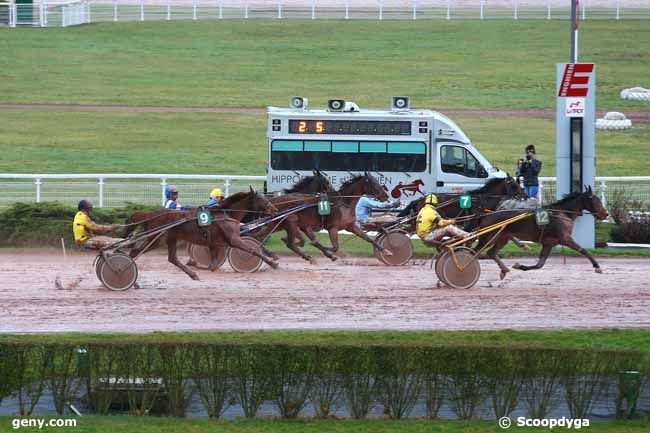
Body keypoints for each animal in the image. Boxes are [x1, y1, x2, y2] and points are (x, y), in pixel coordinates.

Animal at [125, 187, 278, 278]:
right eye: (261, 199)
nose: (275, 210)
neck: (226, 213)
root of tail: (149, 214)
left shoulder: (216, 242)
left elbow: (213, 264)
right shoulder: (234, 239)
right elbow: (253, 249)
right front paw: (273, 263)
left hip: (169, 239)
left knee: (171, 258)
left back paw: (193, 275)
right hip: (157, 239)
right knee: (135, 252)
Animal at [470, 186, 608, 280]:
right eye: (596, 200)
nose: (606, 214)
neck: (562, 213)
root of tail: (487, 214)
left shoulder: (549, 243)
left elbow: (539, 264)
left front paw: (520, 266)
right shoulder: (565, 239)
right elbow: (583, 250)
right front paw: (597, 266)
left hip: (503, 237)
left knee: (491, 252)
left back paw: (504, 270)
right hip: (489, 236)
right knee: (474, 252)